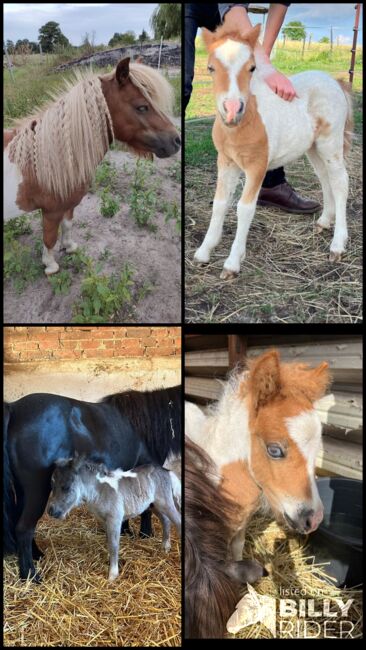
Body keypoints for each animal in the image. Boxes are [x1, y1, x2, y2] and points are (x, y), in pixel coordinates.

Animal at [2, 58, 180, 274]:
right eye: (142, 107)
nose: (177, 141)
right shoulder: (51, 212)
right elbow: (49, 238)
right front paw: (50, 265)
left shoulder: (68, 206)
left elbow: (68, 226)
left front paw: (69, 247)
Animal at [4, 382, 182, 580]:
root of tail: (14, 409)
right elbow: (146, 508)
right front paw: (145, 534)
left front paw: (126, 530)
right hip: (37, 491)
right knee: (24, 528)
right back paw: (30, 574)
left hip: (23, 491)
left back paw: (37, 555)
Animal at [196, 24, 354, 278]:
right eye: (211, 68)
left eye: (252, 68)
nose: (232, 110)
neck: (244, 123)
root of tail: (334, 81)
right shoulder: (226, 161)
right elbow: (220, 202)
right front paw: (204, 251)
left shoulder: (257, 166)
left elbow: (244, 208)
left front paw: (232, 262)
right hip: (313, 148)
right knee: (325, 178)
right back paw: (324, 221)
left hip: (331, 143)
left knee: (340, 182)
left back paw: (338, 244)